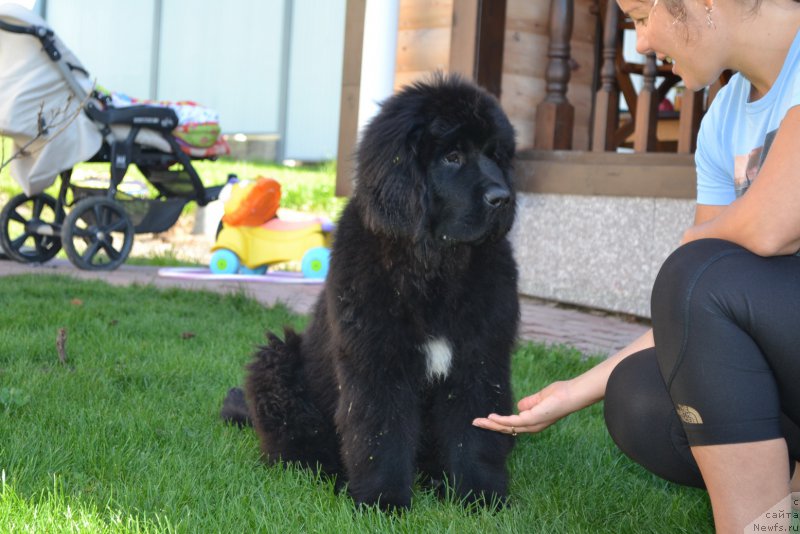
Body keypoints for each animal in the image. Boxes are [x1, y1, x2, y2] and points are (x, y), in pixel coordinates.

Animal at [222, 74, 520, 510]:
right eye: (452, 156)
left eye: (495, 155)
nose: (503, 198)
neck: (432, 267)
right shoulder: (378, 360)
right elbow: (381, 434)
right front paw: (384, 501)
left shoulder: (479, 360)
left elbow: (475, 433)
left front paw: (481, 499)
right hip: (276, 362)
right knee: (294, 445)